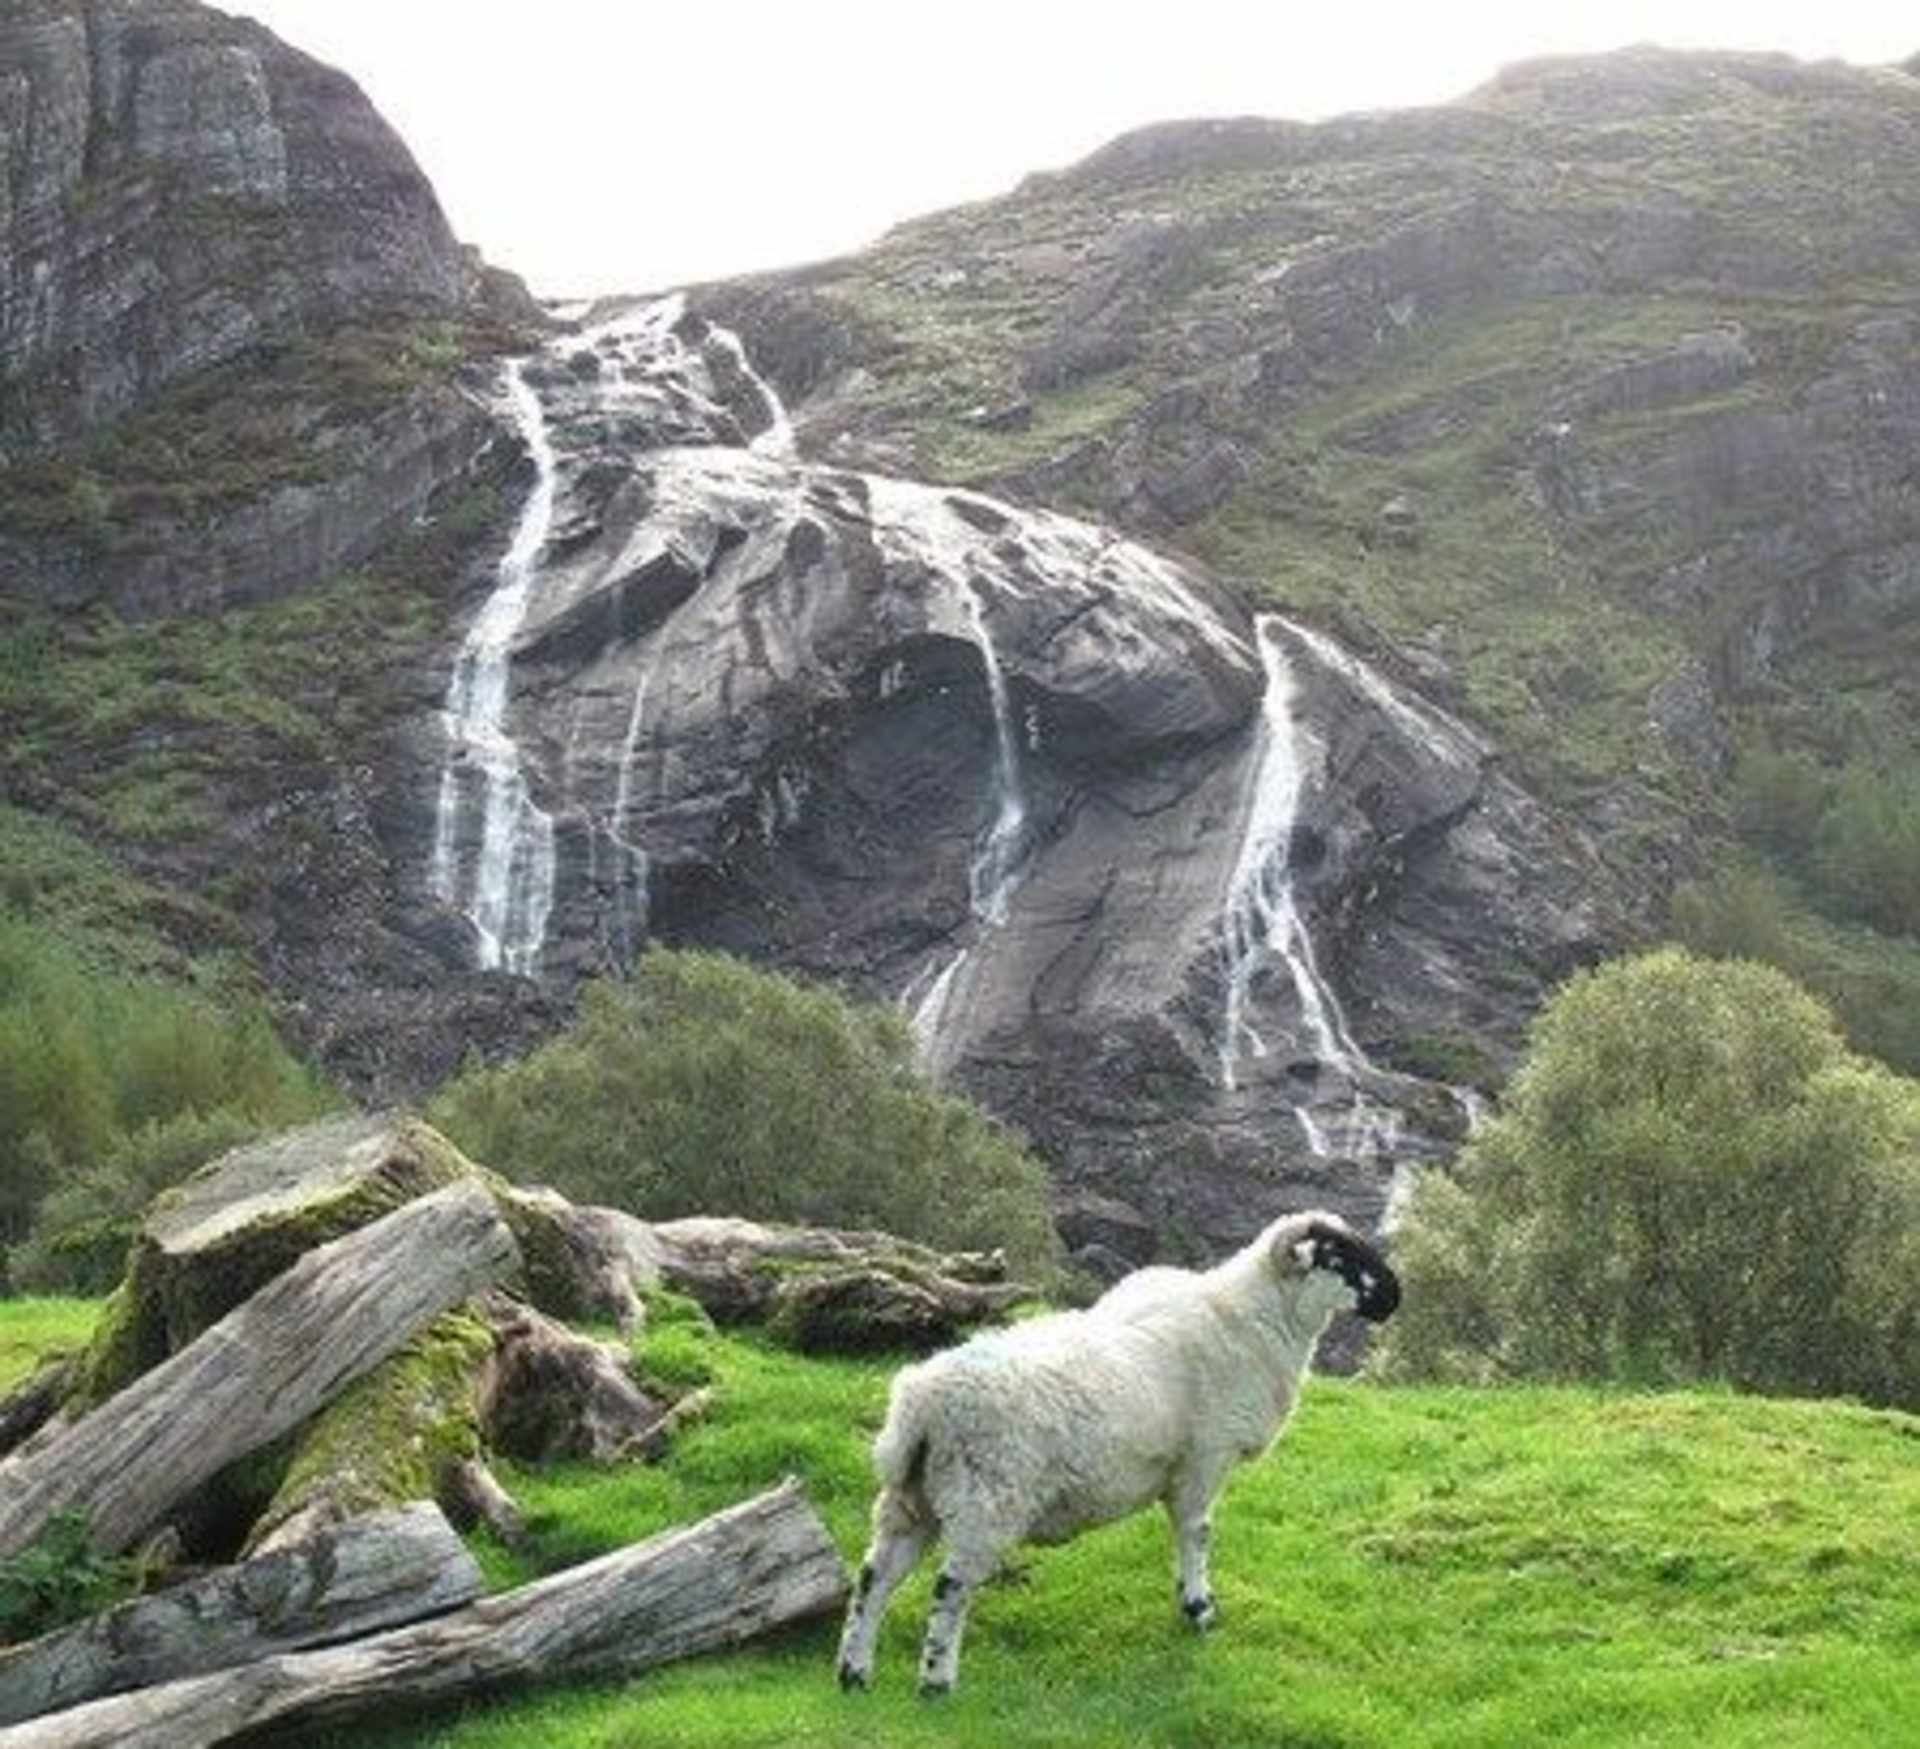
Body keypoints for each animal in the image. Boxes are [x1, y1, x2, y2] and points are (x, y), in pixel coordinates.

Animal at [834, 1208, 1400, 1695]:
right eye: (1340, 1256)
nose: (1395, 1296)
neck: (1254, 1320)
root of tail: (920, 1403)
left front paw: (1190, 1600)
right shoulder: (1204, 1458)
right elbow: (1197, 1532)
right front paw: (1199, 1609)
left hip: (912, 1496)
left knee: (875, 1576)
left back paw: (854, 1672)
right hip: (986, 1497)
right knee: (950, 1587)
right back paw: (936, 1681)